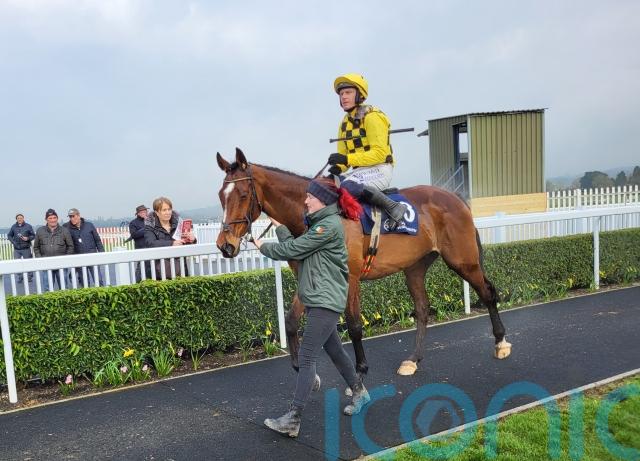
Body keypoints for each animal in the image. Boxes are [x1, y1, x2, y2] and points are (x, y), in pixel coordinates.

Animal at [215, 148, 511, 379]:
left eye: (243, 194)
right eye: (220, 195)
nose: (224, 245)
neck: (317, 215)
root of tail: (455, 198)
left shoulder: (351, 277)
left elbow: (354, 324)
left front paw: (360, 369)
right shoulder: (308, 277)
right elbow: (290, 321)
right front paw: (300, 367)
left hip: (463, 260)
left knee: (487, 292)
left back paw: (501, 343)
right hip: (415, 267)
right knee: (422, 308)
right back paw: (413, 360)